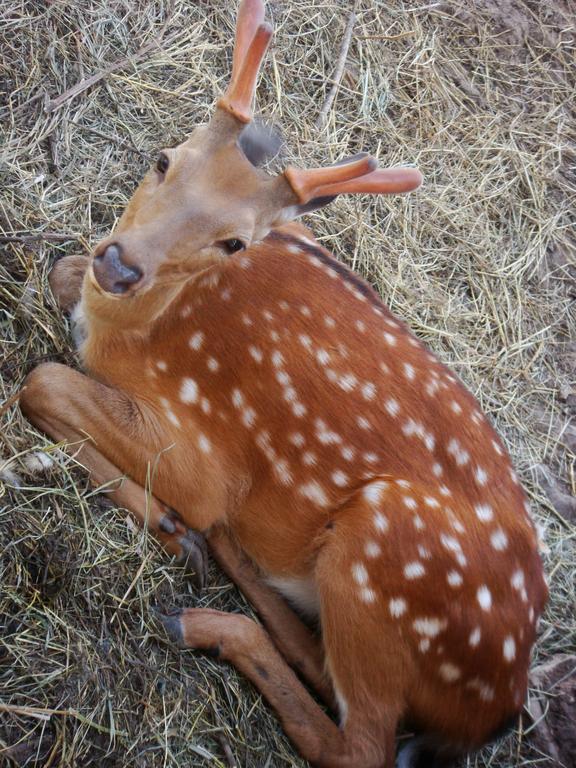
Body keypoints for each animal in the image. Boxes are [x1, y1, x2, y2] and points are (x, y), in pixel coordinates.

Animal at [19, 1, 548, 768]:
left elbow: (44, 381)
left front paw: (168, 522)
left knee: (362, 744)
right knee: (324, 669)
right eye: (163, 159)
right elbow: (59, 280)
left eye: (235, 240)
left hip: (379, 552)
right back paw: (220, 574)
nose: (119, 265)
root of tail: (499, 705)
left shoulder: (203, 448)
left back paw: (199, 611)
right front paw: (173, 529)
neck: (137, 327)